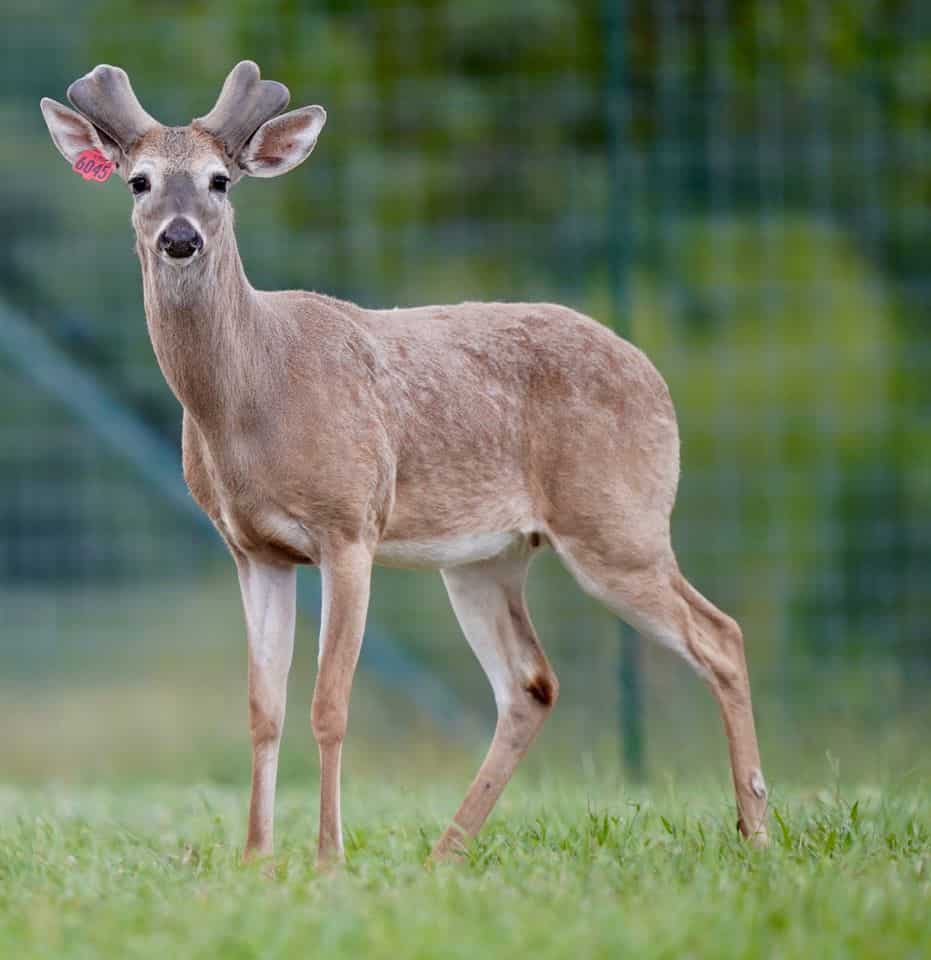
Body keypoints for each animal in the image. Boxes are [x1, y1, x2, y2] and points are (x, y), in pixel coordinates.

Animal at [40, 61, 769, 865]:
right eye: (138, 181)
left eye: (220, 181)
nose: (179, 237)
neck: (252, 398)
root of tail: (655, 378)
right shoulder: (252, 549)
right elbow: (264, 707)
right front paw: (257, 861)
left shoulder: (349, 525)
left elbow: (329, 703)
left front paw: (328, 859)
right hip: (486, 556)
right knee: (530, 683)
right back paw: (444, 853)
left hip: (616, 518)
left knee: (720, 635)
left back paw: (756, 830)